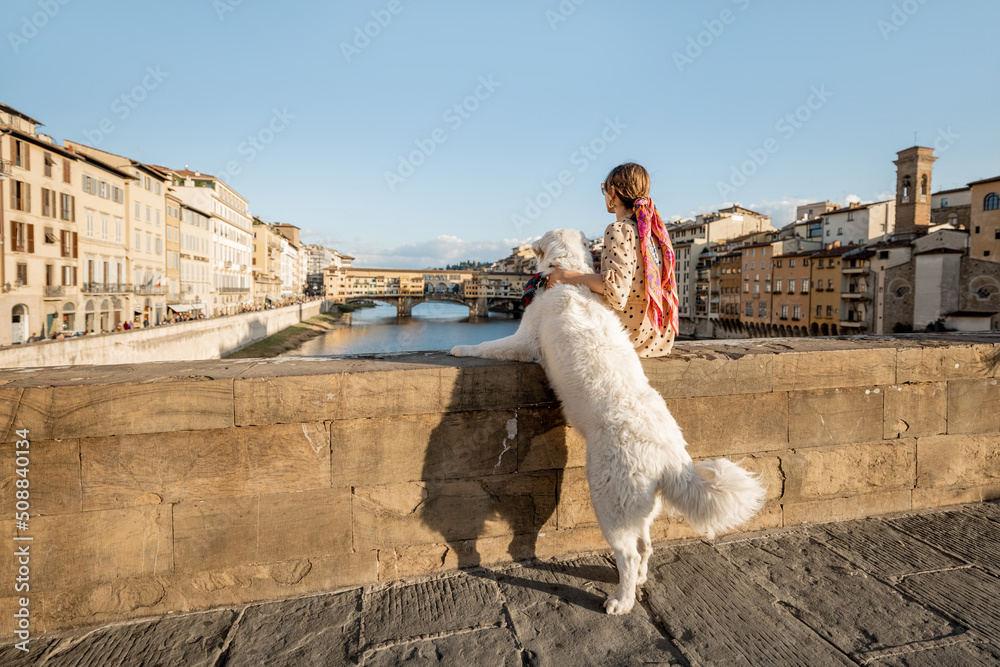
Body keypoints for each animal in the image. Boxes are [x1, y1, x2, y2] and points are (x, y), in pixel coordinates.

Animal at [450, 230, 760, 616]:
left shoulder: (523, 341)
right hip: (638, 507)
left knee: (628, 554)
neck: (569, 275)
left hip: (610, 499)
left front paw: (459, 348)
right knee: (645, 547)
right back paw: (638, 582)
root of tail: (673, 457)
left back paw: (621, 601)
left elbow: (491, 345)